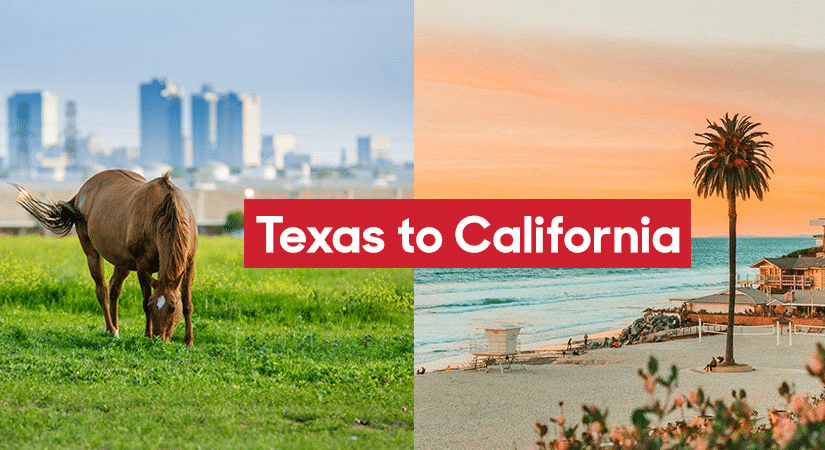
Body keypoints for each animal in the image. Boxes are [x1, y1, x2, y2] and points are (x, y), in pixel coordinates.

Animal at [15, 169, 199, 344]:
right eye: (153, 305)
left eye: (173, 308)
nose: (160, 338)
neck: (164, 212)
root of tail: (79, 194)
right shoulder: (142, 265)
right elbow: (144, 298)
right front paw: (147, 334)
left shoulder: (189, 263)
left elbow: (187, 302)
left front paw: (189, 341)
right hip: (92, 252)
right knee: (102, 290)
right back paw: (111, 329)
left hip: (123, 262)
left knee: (114, 289)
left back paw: (115, 328)